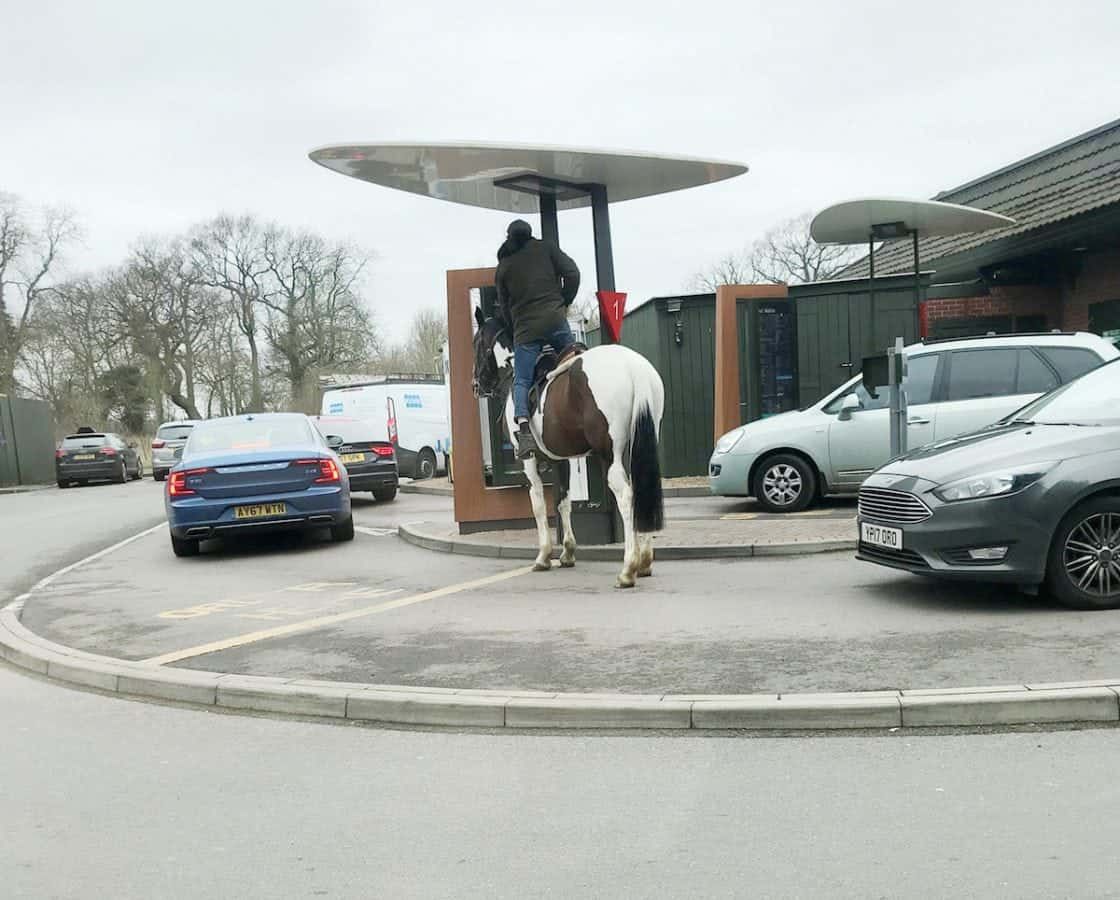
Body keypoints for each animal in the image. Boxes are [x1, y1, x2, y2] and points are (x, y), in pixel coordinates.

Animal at [472, 313, 663, 586]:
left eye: (477, 342)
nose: (476, 384)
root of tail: (632, 367)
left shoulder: (528, 461)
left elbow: (539, 503)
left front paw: (543, 555)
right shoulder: (560, 460)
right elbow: (563, 502)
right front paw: (568, 552)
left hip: (610, 453)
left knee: (626, 496)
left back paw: (628, 568)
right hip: (638, 444)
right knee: (641, 487)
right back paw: (645, 561)